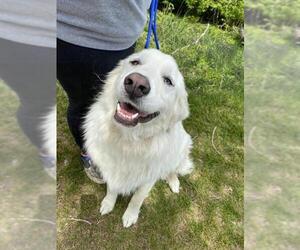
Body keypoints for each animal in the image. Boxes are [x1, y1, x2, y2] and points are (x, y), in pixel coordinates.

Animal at [83, 48, 193, 227]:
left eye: (168, 81)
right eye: (135, 62)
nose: (136, 83)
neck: (129, 141)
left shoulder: (148, 179)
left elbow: (137, 199)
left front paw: (130, 216)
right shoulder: (111, 168)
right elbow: (112, 189)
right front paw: (108, 204)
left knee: (173, 169)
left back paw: (174, 182)